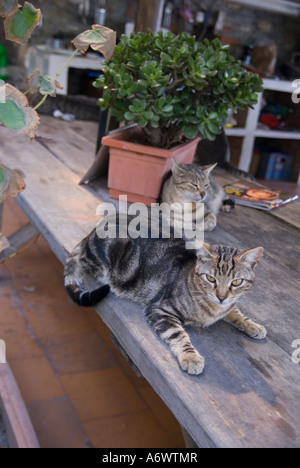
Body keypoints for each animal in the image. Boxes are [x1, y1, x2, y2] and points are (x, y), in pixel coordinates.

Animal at [64, 218, 266, 374]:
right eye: (210, 278)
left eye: (236, 282)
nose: (221, 297)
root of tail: (92, 231)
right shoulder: (160, 309)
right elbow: (178, 335)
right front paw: (191, 357)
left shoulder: (228, 305)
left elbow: (236, 311)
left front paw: (253, 325)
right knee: (85, 263)